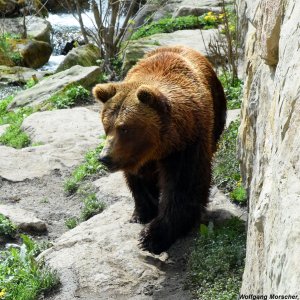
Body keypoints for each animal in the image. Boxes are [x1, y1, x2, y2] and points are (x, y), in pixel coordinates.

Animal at [92, 45, 226, 254]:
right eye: (107, 126)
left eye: (124, 128)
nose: (105, 157)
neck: (159, 147)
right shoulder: (137, 156)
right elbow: (139, 180)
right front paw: (142, 213)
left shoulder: (186, 144)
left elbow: (183, 186)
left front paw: (153, 236)